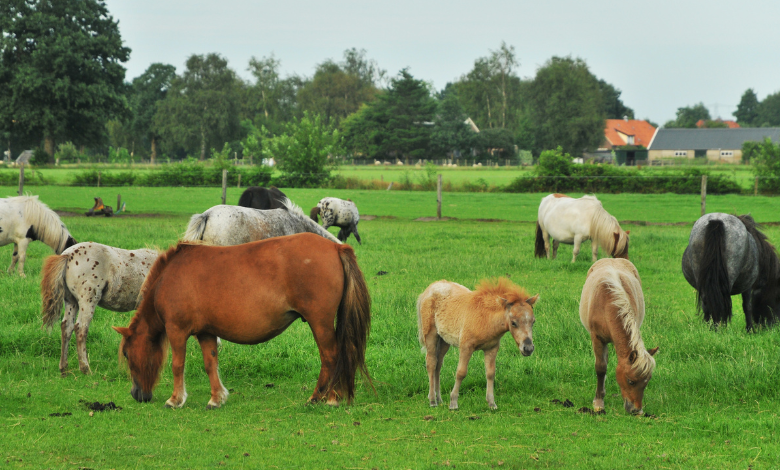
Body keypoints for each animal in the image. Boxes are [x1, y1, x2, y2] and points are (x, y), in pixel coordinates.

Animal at [40, 244, 158, 376]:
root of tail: (68, 255)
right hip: (88, 299)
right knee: (80, 328)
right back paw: (85, 369)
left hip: (71, 301)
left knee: (67, 326)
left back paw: (64, 369)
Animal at [114, 233, 374, 410]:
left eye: (127, 354)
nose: (137, 394)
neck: (169, 278)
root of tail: (336, 246)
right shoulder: (206, 332)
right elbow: (210, 364)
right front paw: (216, 398)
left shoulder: (177, 330)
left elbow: (178, 365)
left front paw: (175, 399)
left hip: (319, 322)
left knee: (331, 357)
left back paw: (327, 398)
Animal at [418, 280, 540, 412]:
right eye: (513, 323)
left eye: (533, 321)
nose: (528, 348)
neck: (487, 318)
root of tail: (430, 287)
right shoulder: (466, 347)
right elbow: (461, 372)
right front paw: (453, 402)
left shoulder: (492, 348)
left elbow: (490, 373)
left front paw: (492, 403)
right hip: (431, 334)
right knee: (431, 363)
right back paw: (432, 400)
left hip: (444, 340)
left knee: (438, 364)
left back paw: (439, 399)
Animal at [580, 258, 660, 414]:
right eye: (631, 381)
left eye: (646, 382)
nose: (636, 410)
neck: (607, 303)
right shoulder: (597, 338)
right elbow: (601, 368)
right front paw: (599, 402)